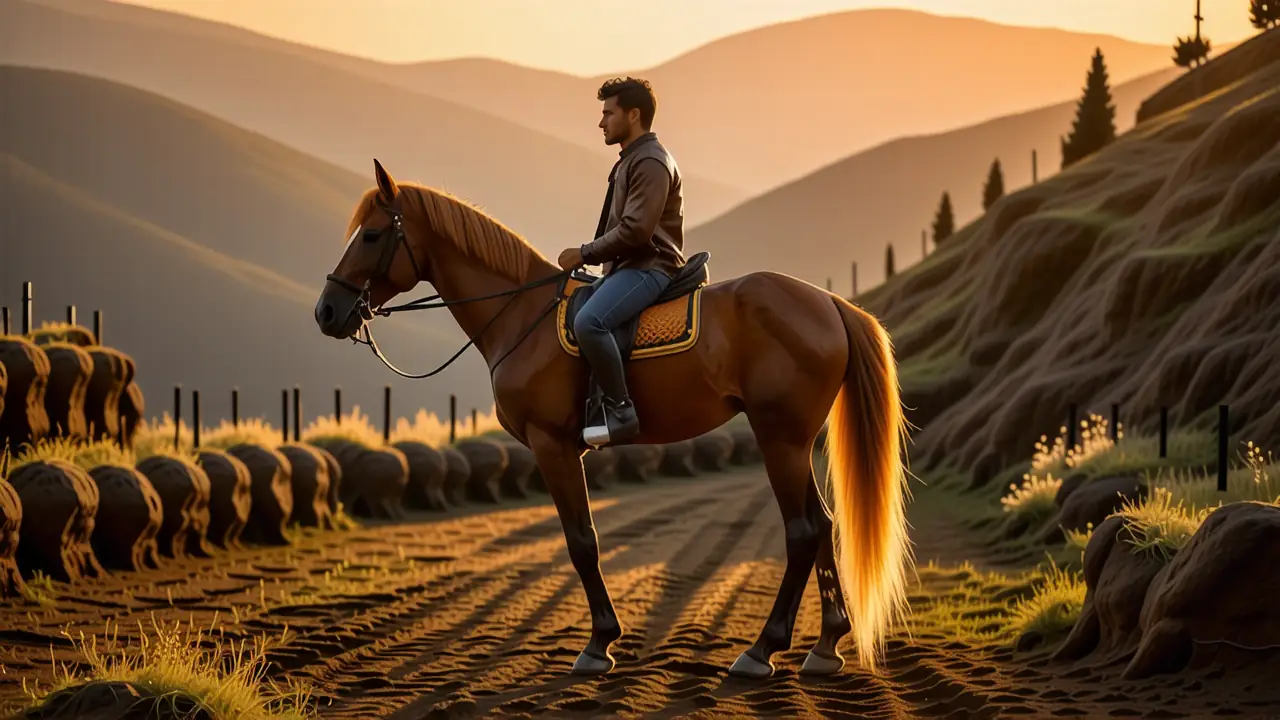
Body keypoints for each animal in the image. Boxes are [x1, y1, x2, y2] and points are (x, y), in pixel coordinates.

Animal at [314, 159, 913, 679]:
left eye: (372, 235)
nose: (327, 312)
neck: (521, 316)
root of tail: (829, 303)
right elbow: (584, 541)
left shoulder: (553, 446)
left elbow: (582, 542)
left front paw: (599, 643)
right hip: (792, 441)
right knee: (823, 526)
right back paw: (826, 646)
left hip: (779, 439)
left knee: (803, 531)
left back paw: (762, 650)